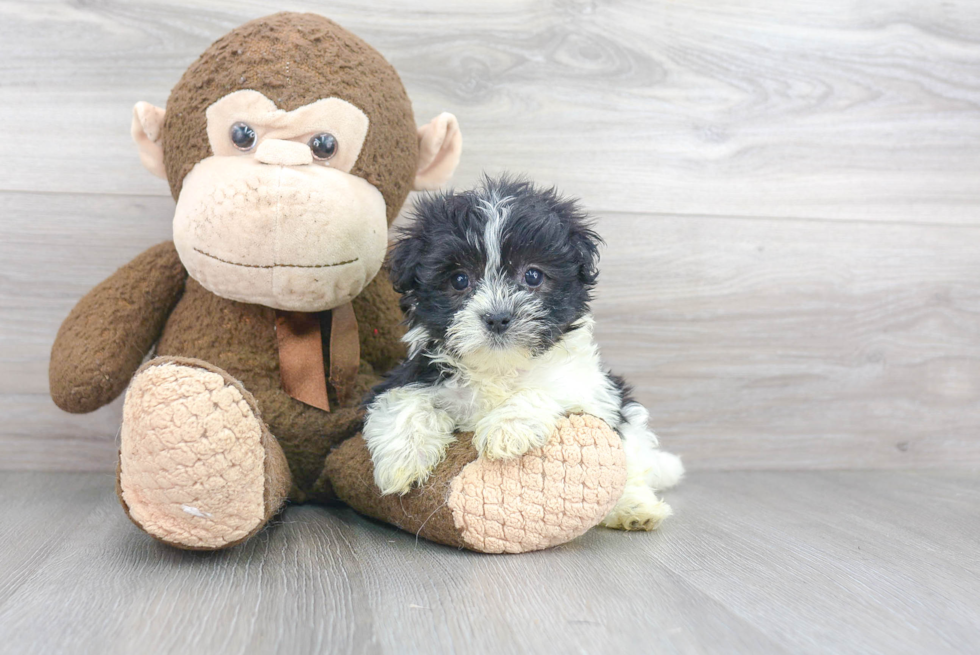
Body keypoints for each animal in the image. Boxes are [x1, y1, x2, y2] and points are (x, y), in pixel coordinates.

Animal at [362, 177, 680, 532]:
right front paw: (402, 460)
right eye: (459, 279)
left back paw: (633, 508)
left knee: (632, 463)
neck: (500, 367)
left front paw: (507, 427)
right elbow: (403, 399)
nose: (498, 317)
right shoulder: (412, 372)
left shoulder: (589, 386)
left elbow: (544, 389)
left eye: (533, 276)